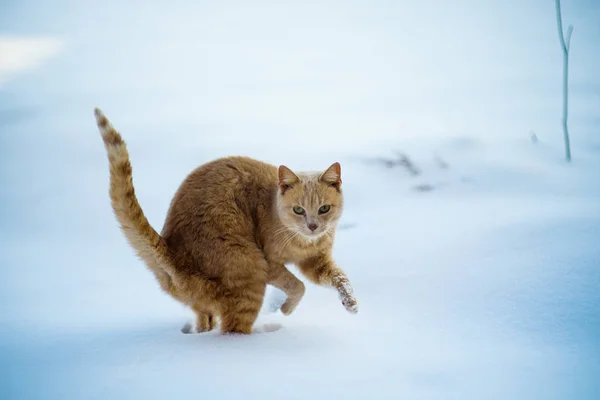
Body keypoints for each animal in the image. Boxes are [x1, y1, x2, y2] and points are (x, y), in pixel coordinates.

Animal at [92, 108, 356, 334]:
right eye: (299, 210)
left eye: (324, 209)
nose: (313, 226)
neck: (303, 242)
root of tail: (172, 251)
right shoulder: (270, 262)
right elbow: (297, 286)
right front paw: (286, 309)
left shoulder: (316, 262)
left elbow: (337, 277)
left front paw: (350, 301)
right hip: (249, 270)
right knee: (232, 330)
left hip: (208, 299)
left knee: (205, 320)